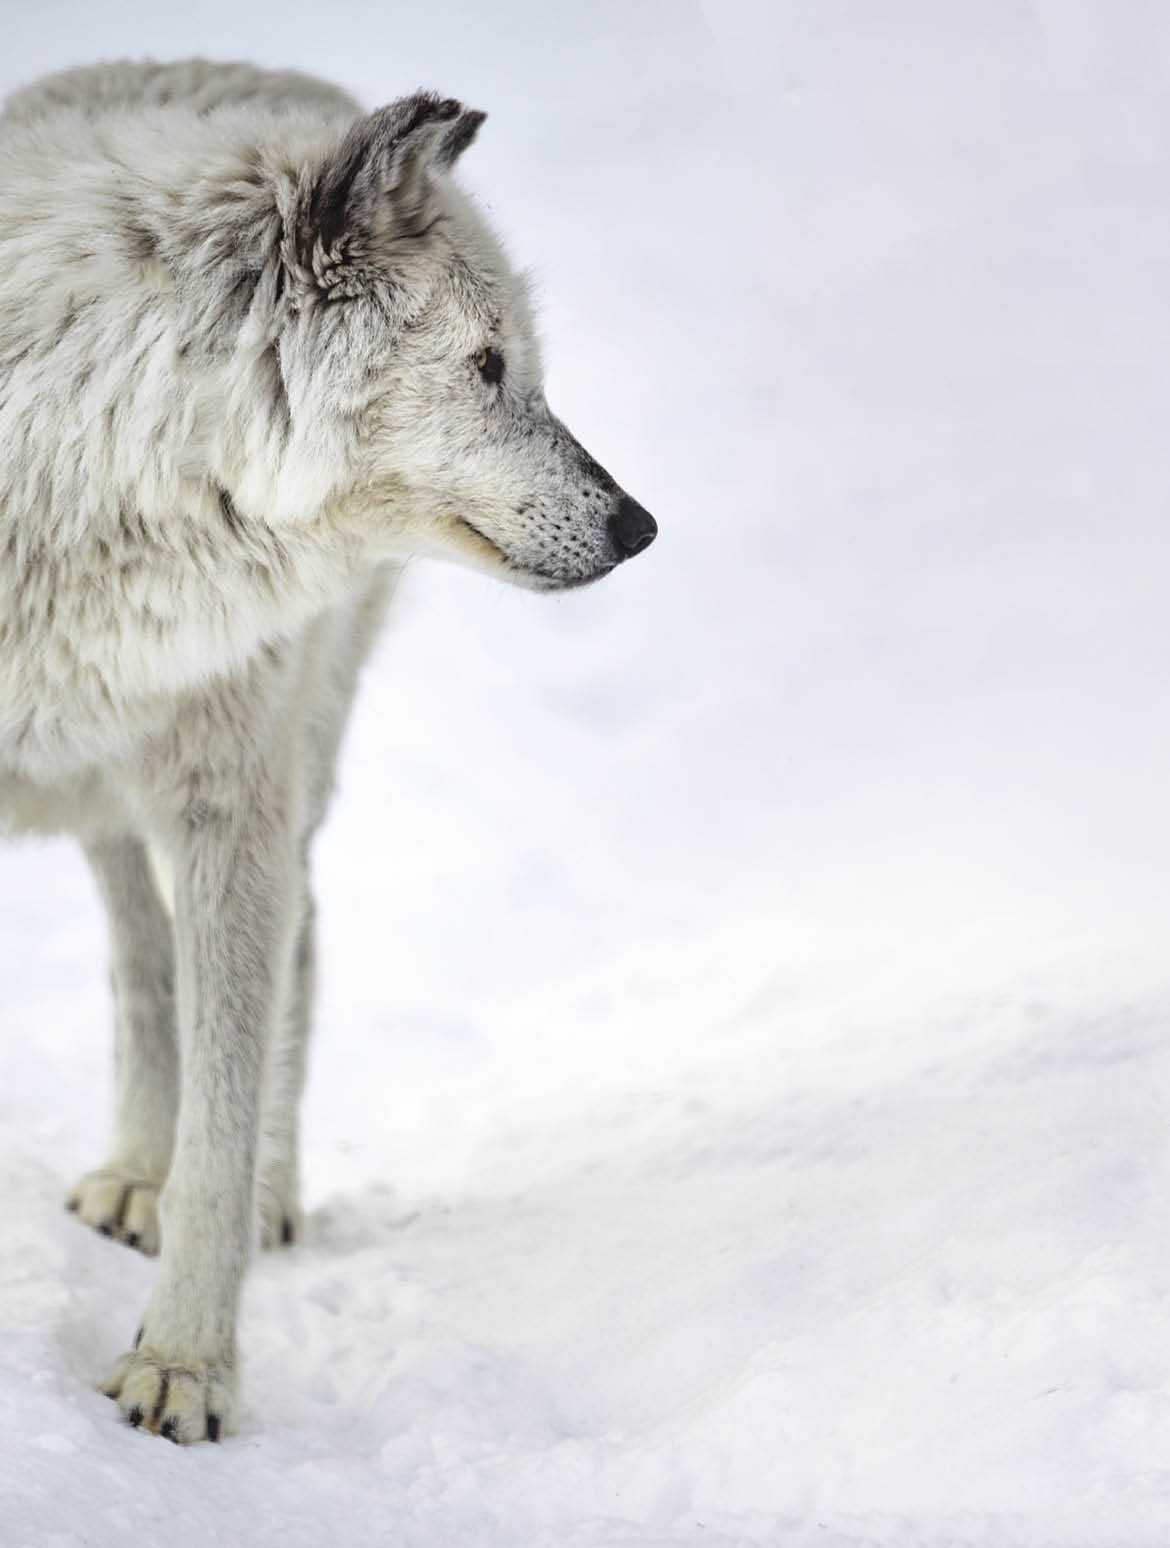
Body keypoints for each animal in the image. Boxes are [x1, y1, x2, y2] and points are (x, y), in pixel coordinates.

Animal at [0, 58, 656, 1444]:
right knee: (144, 964)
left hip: (264, 773)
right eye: (489, 365)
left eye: (525, 367)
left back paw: (254, 1195)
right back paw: (131, 1173)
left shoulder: (232, 808)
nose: (639, 524)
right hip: (105, 791)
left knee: (290, 951)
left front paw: (184, 1372)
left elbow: (223, 1119)